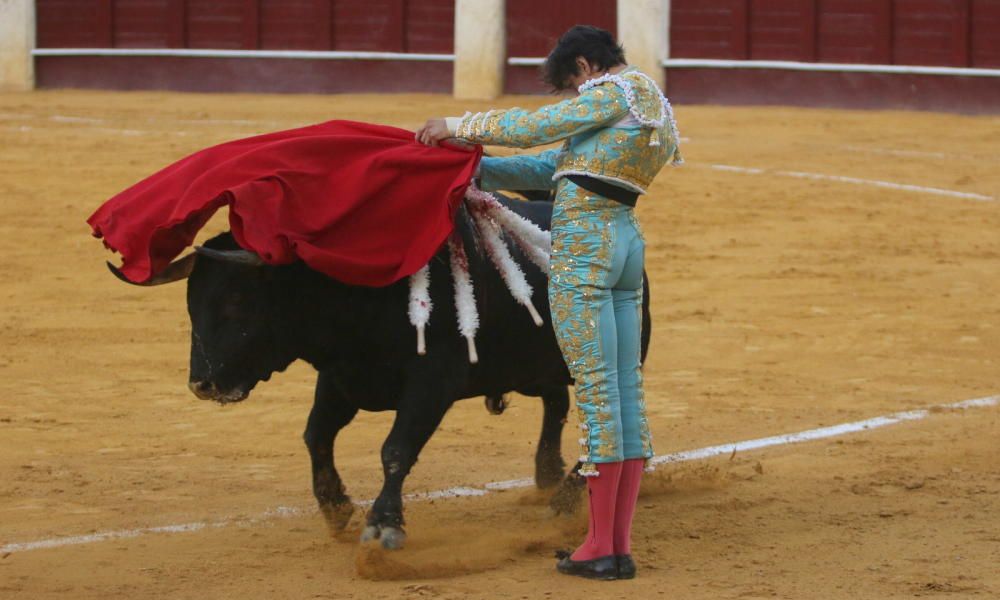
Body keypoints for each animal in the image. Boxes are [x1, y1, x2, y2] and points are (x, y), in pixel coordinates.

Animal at [111, 192, 648, 548]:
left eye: (239, 301)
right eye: (190, 303)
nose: (201, 384)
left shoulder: (432, 383)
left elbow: (395, 449)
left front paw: (383, 523)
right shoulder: (339, 378)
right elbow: (316, 435)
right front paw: (336, 508)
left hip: (606, 358)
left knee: (613, 418)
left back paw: (568, 498)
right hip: (532, 368)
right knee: (557, 404)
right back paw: (548, 475)